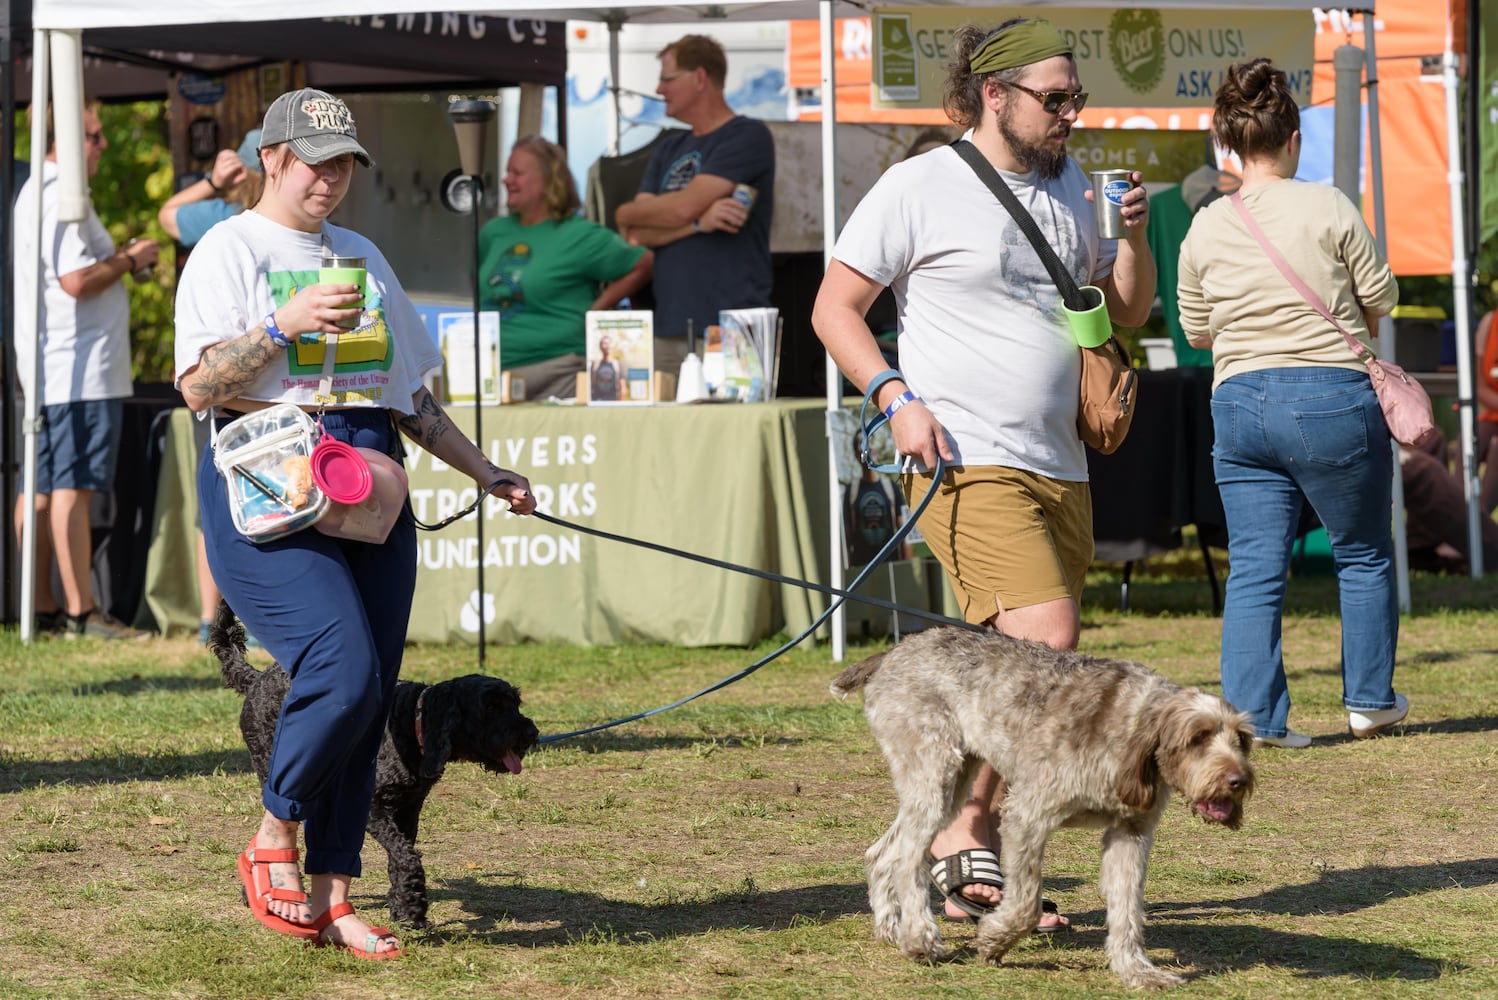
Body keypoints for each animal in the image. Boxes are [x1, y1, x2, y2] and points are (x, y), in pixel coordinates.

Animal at [208, 598, 542, 928]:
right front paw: (411, 907)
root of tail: (256, 679)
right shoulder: (373, 806)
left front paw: (403, 905)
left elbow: (401, 853)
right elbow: (406, 854)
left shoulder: (409, 808)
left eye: (515, 702)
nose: (531, 733)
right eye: (491, 707)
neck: (411, 723)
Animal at [832, 628, 1252, 988]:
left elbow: (1128, 910)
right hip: (936, 775)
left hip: (951, 786)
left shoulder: (1129, 834)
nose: (1239, 781)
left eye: (1242, 739)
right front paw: (994, 940)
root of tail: (895, 650)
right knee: (907, 859)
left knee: (881, 853)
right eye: (1198, 737)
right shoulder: (1025, 817)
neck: (1128, 731)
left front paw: (1136, 970)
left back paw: (890, 926)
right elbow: (1026, 903)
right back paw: (920, 936)